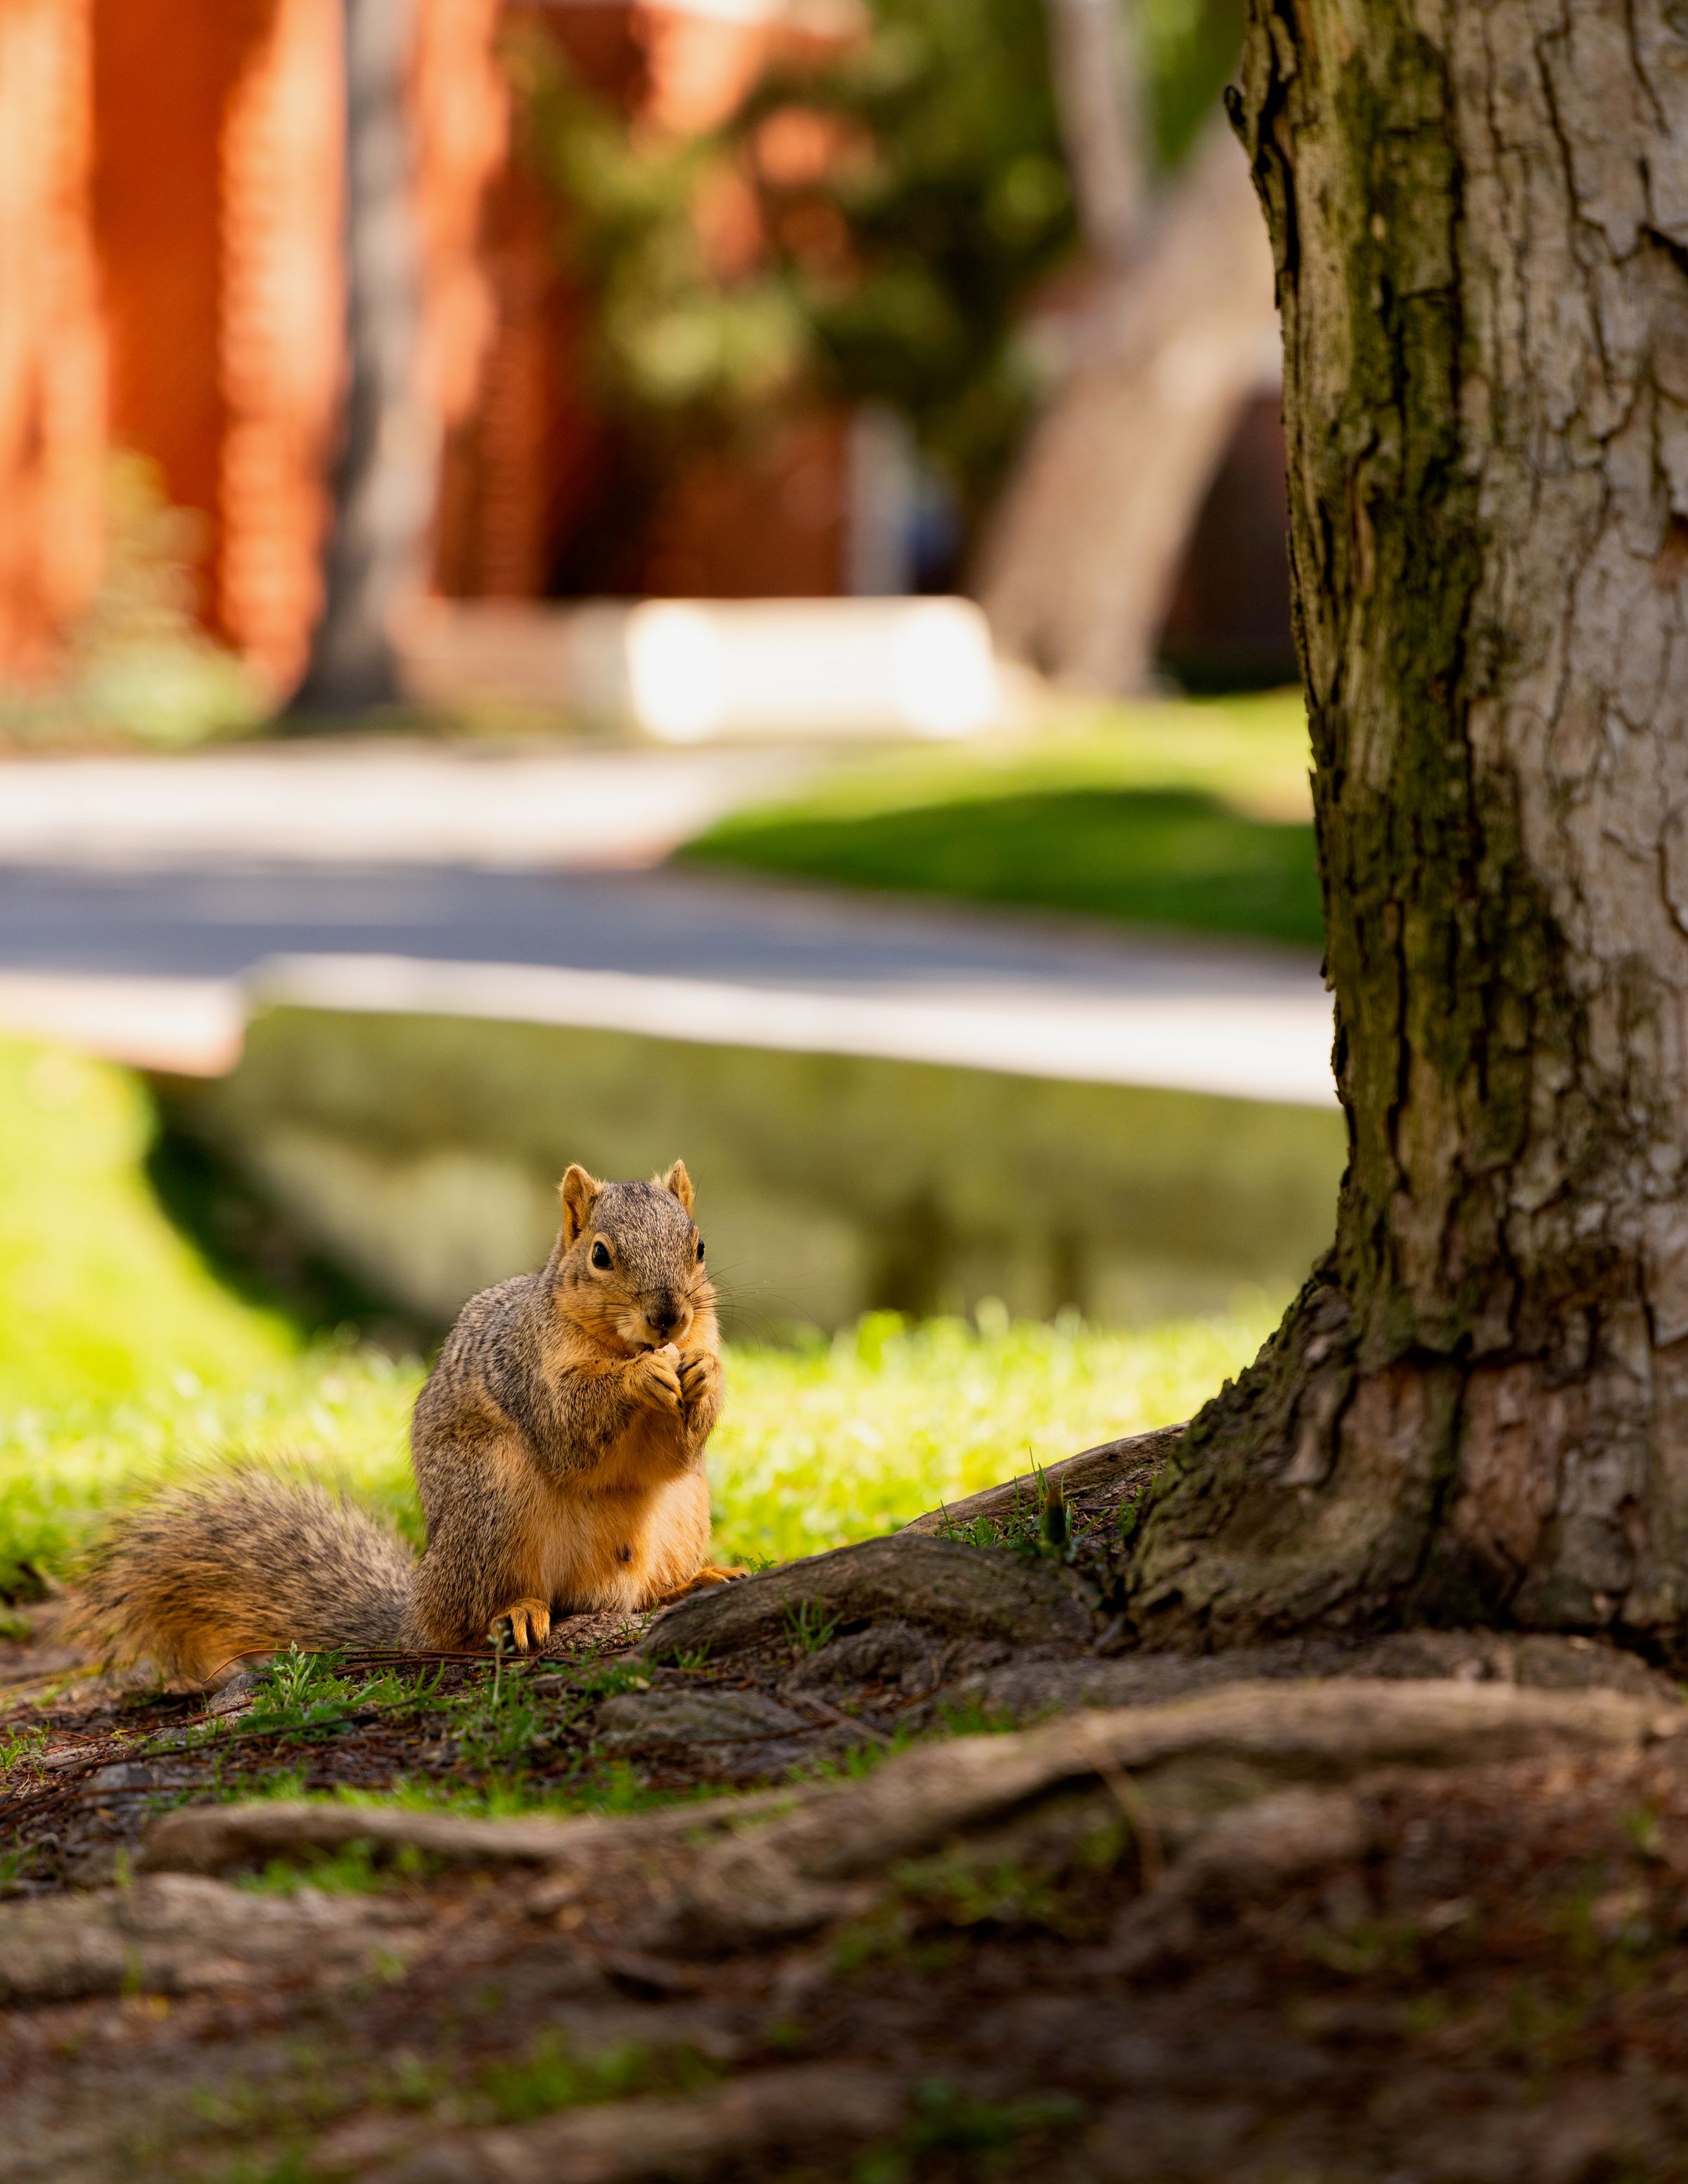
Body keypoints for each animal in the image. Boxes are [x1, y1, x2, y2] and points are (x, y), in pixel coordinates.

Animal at [79, 1160, 734, 1686]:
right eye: (600, 1255)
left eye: (700, 1246)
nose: (668, 1317)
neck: (619, 1344)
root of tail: (416, 1611)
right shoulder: (525, 1370)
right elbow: (568, 1429)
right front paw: (640, 1377)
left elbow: (670, 1453)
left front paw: (706, 1372)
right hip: (493, 1501)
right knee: (467, 1624)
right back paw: (516, 1612)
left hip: (684, 1508)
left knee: (638, 1590)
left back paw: (693, 1582)